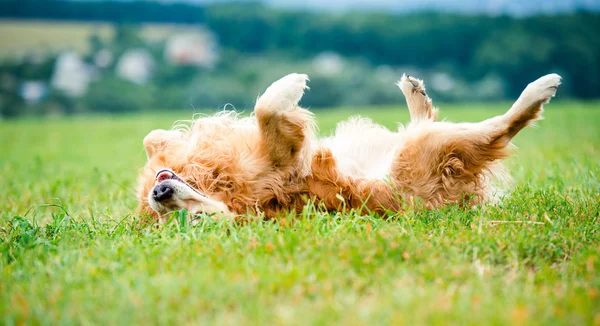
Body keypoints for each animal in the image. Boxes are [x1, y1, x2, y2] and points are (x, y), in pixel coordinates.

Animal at [137, 72, 564, 223]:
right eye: (193, 221)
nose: (160, 193)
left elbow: (151, 136)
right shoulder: (280, 163)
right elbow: (268, 108)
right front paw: (290, 86)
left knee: (427, 119)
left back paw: (415, 91)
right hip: (427, 147)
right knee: (500, 128)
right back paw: (540, 89)